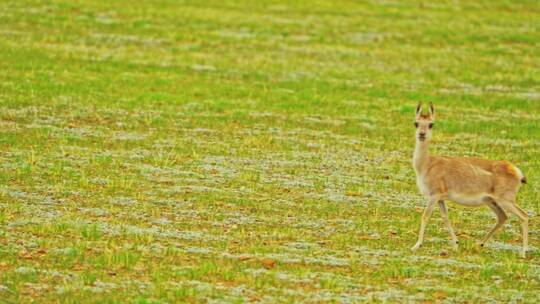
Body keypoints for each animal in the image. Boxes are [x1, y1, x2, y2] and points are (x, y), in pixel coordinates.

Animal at [412, 102, 528, 256]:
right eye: (416, 123)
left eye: (431, 124)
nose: (422, 134)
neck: (426, 164)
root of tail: (516, 171)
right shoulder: (441, 199)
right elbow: (445, 217)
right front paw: (456, 244)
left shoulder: (434, 195)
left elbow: (425, 216)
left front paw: (416, 245)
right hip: (491, 201)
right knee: (503, 217)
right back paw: (480, 244)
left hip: (506, 200)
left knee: (524, 216)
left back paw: (523, 252)